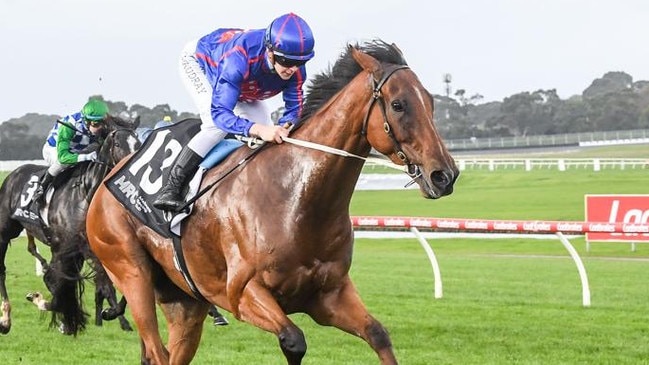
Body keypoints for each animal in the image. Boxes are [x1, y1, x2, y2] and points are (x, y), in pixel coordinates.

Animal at [0, 117, 140, 336]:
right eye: (118, 144)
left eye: (139, 143)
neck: (86, 193)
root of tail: (14, 173)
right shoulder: (69, 247)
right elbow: (60, 281)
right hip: (5, 232)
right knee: (3, 270)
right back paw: (5, 319)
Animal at [86, 40, 458, 364]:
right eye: (398, 105)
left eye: (430, 102)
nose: (445, 175)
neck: (298, 200)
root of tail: (106, 182)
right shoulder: (242, 294)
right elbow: (294, 340)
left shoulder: (329, 295)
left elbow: (378, 334)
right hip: (132, 274)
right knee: (155, 348)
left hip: (184, 302)